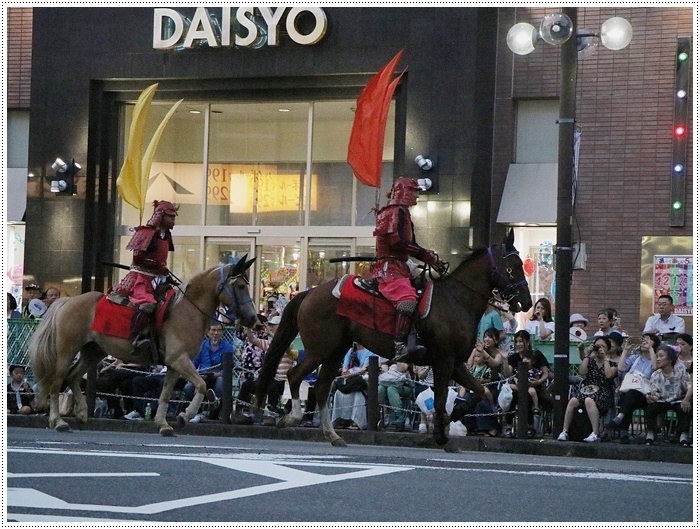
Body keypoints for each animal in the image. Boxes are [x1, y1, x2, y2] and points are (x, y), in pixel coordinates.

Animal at [29, 258, 260, 436]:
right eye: (240, 286)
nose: (253, 319)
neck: (188, 310)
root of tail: (67, 301)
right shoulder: (179, 359)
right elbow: (202, 385)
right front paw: (184, 416)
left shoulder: (174, 364)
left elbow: (166, 393)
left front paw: (164, 424)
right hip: (67, 350)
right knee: (57, 381)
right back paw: (58, 421)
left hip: (92, 351)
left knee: (73, 377)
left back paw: (82, 414)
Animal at [254, 229, 532, 452]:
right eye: (513, 266)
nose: (527, 302)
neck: (456, 301)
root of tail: (309, 293)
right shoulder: (444, 360)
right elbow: (441, 398)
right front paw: (442, 436)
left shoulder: (455, 363)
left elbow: (480, 390)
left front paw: (454, 417)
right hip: (319, 349)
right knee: (294, 376)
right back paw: (292, 418)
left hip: (335, 351)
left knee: (321, 389)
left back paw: (332, 435)